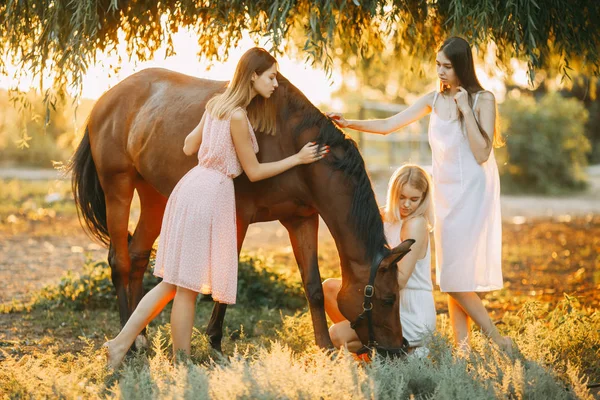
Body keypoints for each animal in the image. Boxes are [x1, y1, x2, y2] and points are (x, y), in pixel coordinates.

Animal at [68, 68, 410, 354]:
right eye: (389, 298)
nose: (398, 349)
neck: (290, 137)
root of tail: (104, 100)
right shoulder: (239, 215)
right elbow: (226, 278)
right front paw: (215, 342)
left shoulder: (302, 219)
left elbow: (313, 286)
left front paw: (325, 349)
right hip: (119, 189)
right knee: (120, 262)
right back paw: (128, 343)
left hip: (153, 196)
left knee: (138, 257)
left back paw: (140, 336)